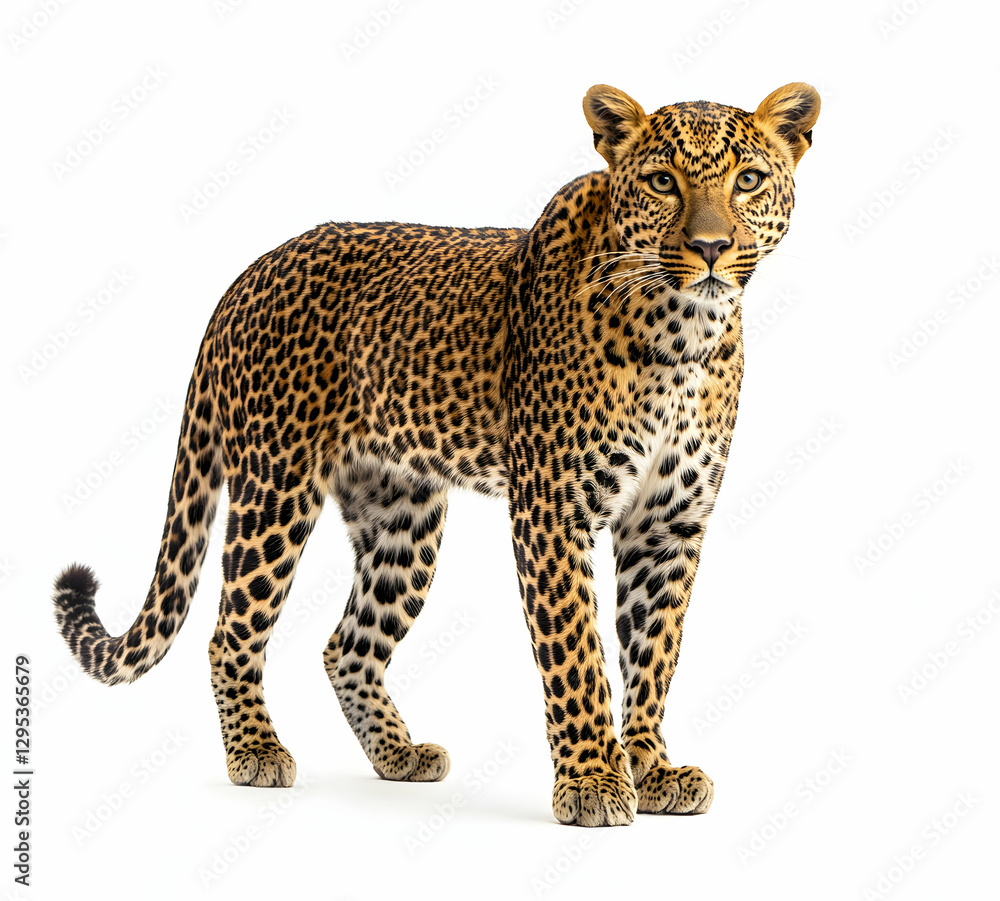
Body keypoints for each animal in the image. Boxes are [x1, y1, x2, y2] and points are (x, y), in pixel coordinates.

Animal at [53, 81, 819, 827]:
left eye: (748, 180)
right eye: (663, 181)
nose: (711, 246)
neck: (684, 335)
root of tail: (242, 279)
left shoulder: (667, 524)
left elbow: (654, 654)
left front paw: (654, 770)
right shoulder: (553, 513)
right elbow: (577, 652)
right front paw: (593, 782)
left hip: (404, 518)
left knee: (347, 645)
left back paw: (399, 754)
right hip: (274, 489)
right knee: (231, 632)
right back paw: (256, 752)